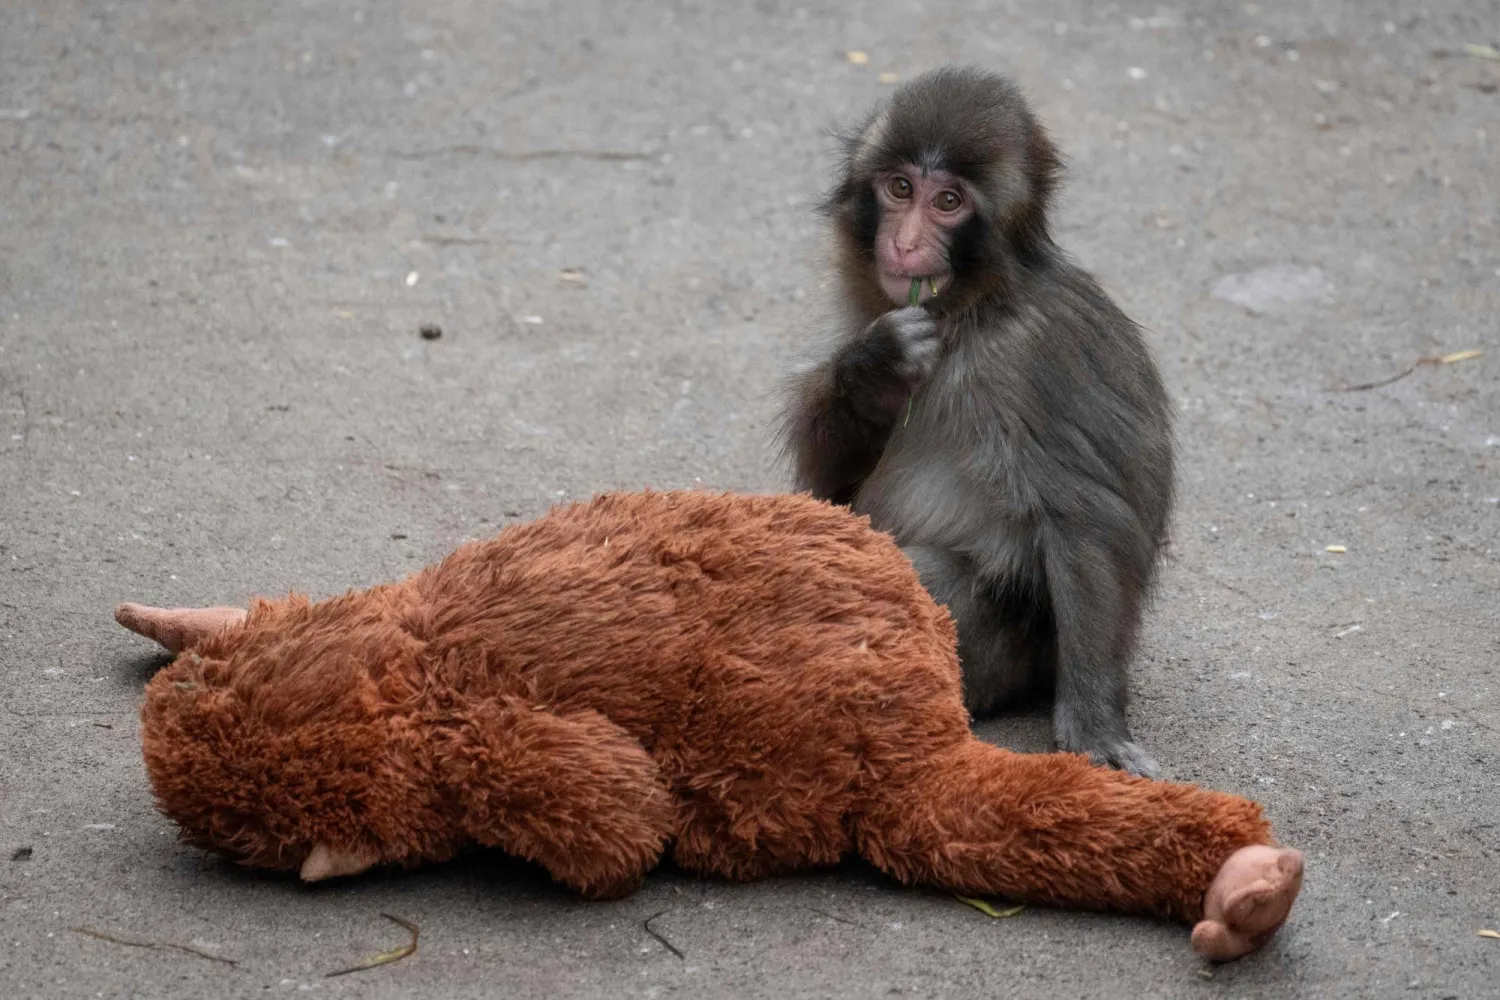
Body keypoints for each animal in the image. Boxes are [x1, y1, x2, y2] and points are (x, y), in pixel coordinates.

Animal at [780, 67, 1173, 777]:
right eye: (900, 188)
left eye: (948, 202)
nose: (905, 243)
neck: (972, 312)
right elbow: (832, 491)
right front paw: (876, 369)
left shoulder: (1036, 355)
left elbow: (1087, 520)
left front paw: (1097, 726)